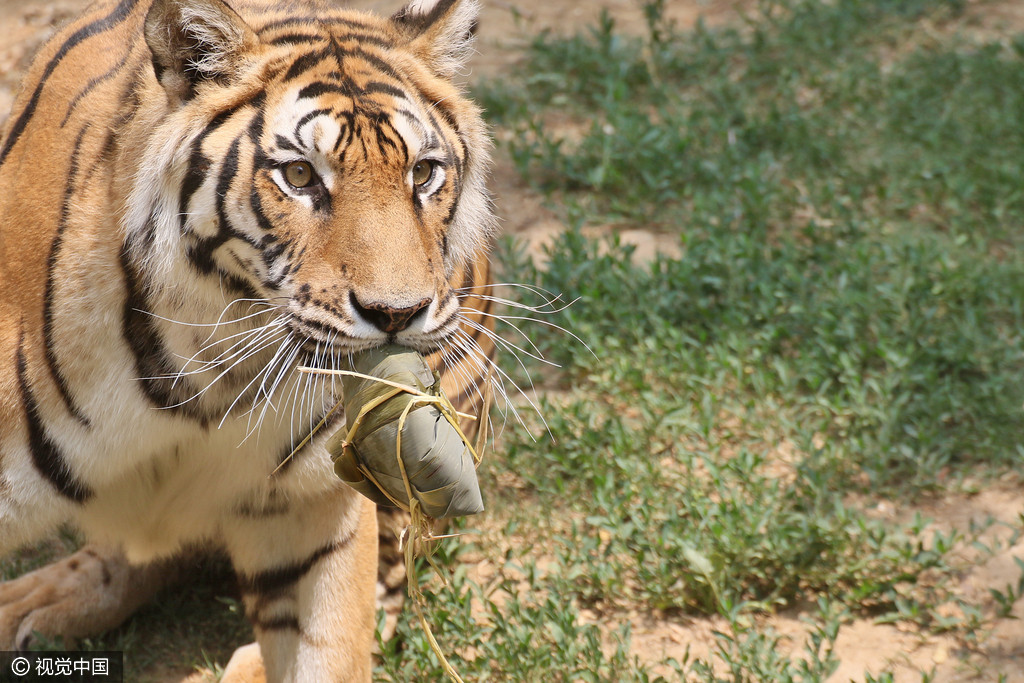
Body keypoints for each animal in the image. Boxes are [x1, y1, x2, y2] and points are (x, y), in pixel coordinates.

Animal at [0, 0, 499, 679]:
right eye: (300, 175)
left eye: (422, 174)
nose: (398, 313)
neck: (205, 365)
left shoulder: (310, 505)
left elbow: (329, 647)